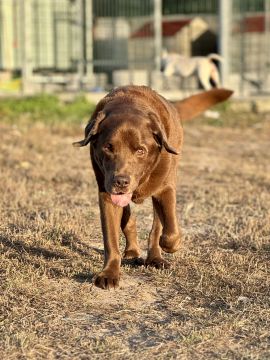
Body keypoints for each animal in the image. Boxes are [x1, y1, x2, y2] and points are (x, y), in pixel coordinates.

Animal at [73, 86, 232, 290]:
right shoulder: (107, 193)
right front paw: (109, 273)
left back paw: (155, 257)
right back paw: (132, 252)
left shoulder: (165, 189)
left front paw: (169, 246)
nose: (121, 181)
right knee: (129, 220)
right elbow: (111, 239)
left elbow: (170, 232)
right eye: (108, 147)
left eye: (141, 150)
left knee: (157, 226)